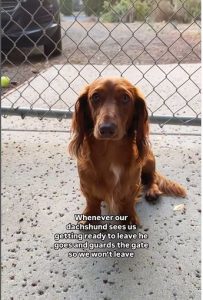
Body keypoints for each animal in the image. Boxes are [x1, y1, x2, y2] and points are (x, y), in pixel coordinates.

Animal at [69, 77, 186, 225]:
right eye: (95, 97)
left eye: (125, 98)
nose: (106, 129)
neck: (110, 151)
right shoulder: (86, 183)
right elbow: (92, 200)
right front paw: (90, 215)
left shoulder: (133, 184)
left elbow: (128, 201)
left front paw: (129, 217)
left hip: (148, 159)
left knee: (152, 177)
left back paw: (152, 191)